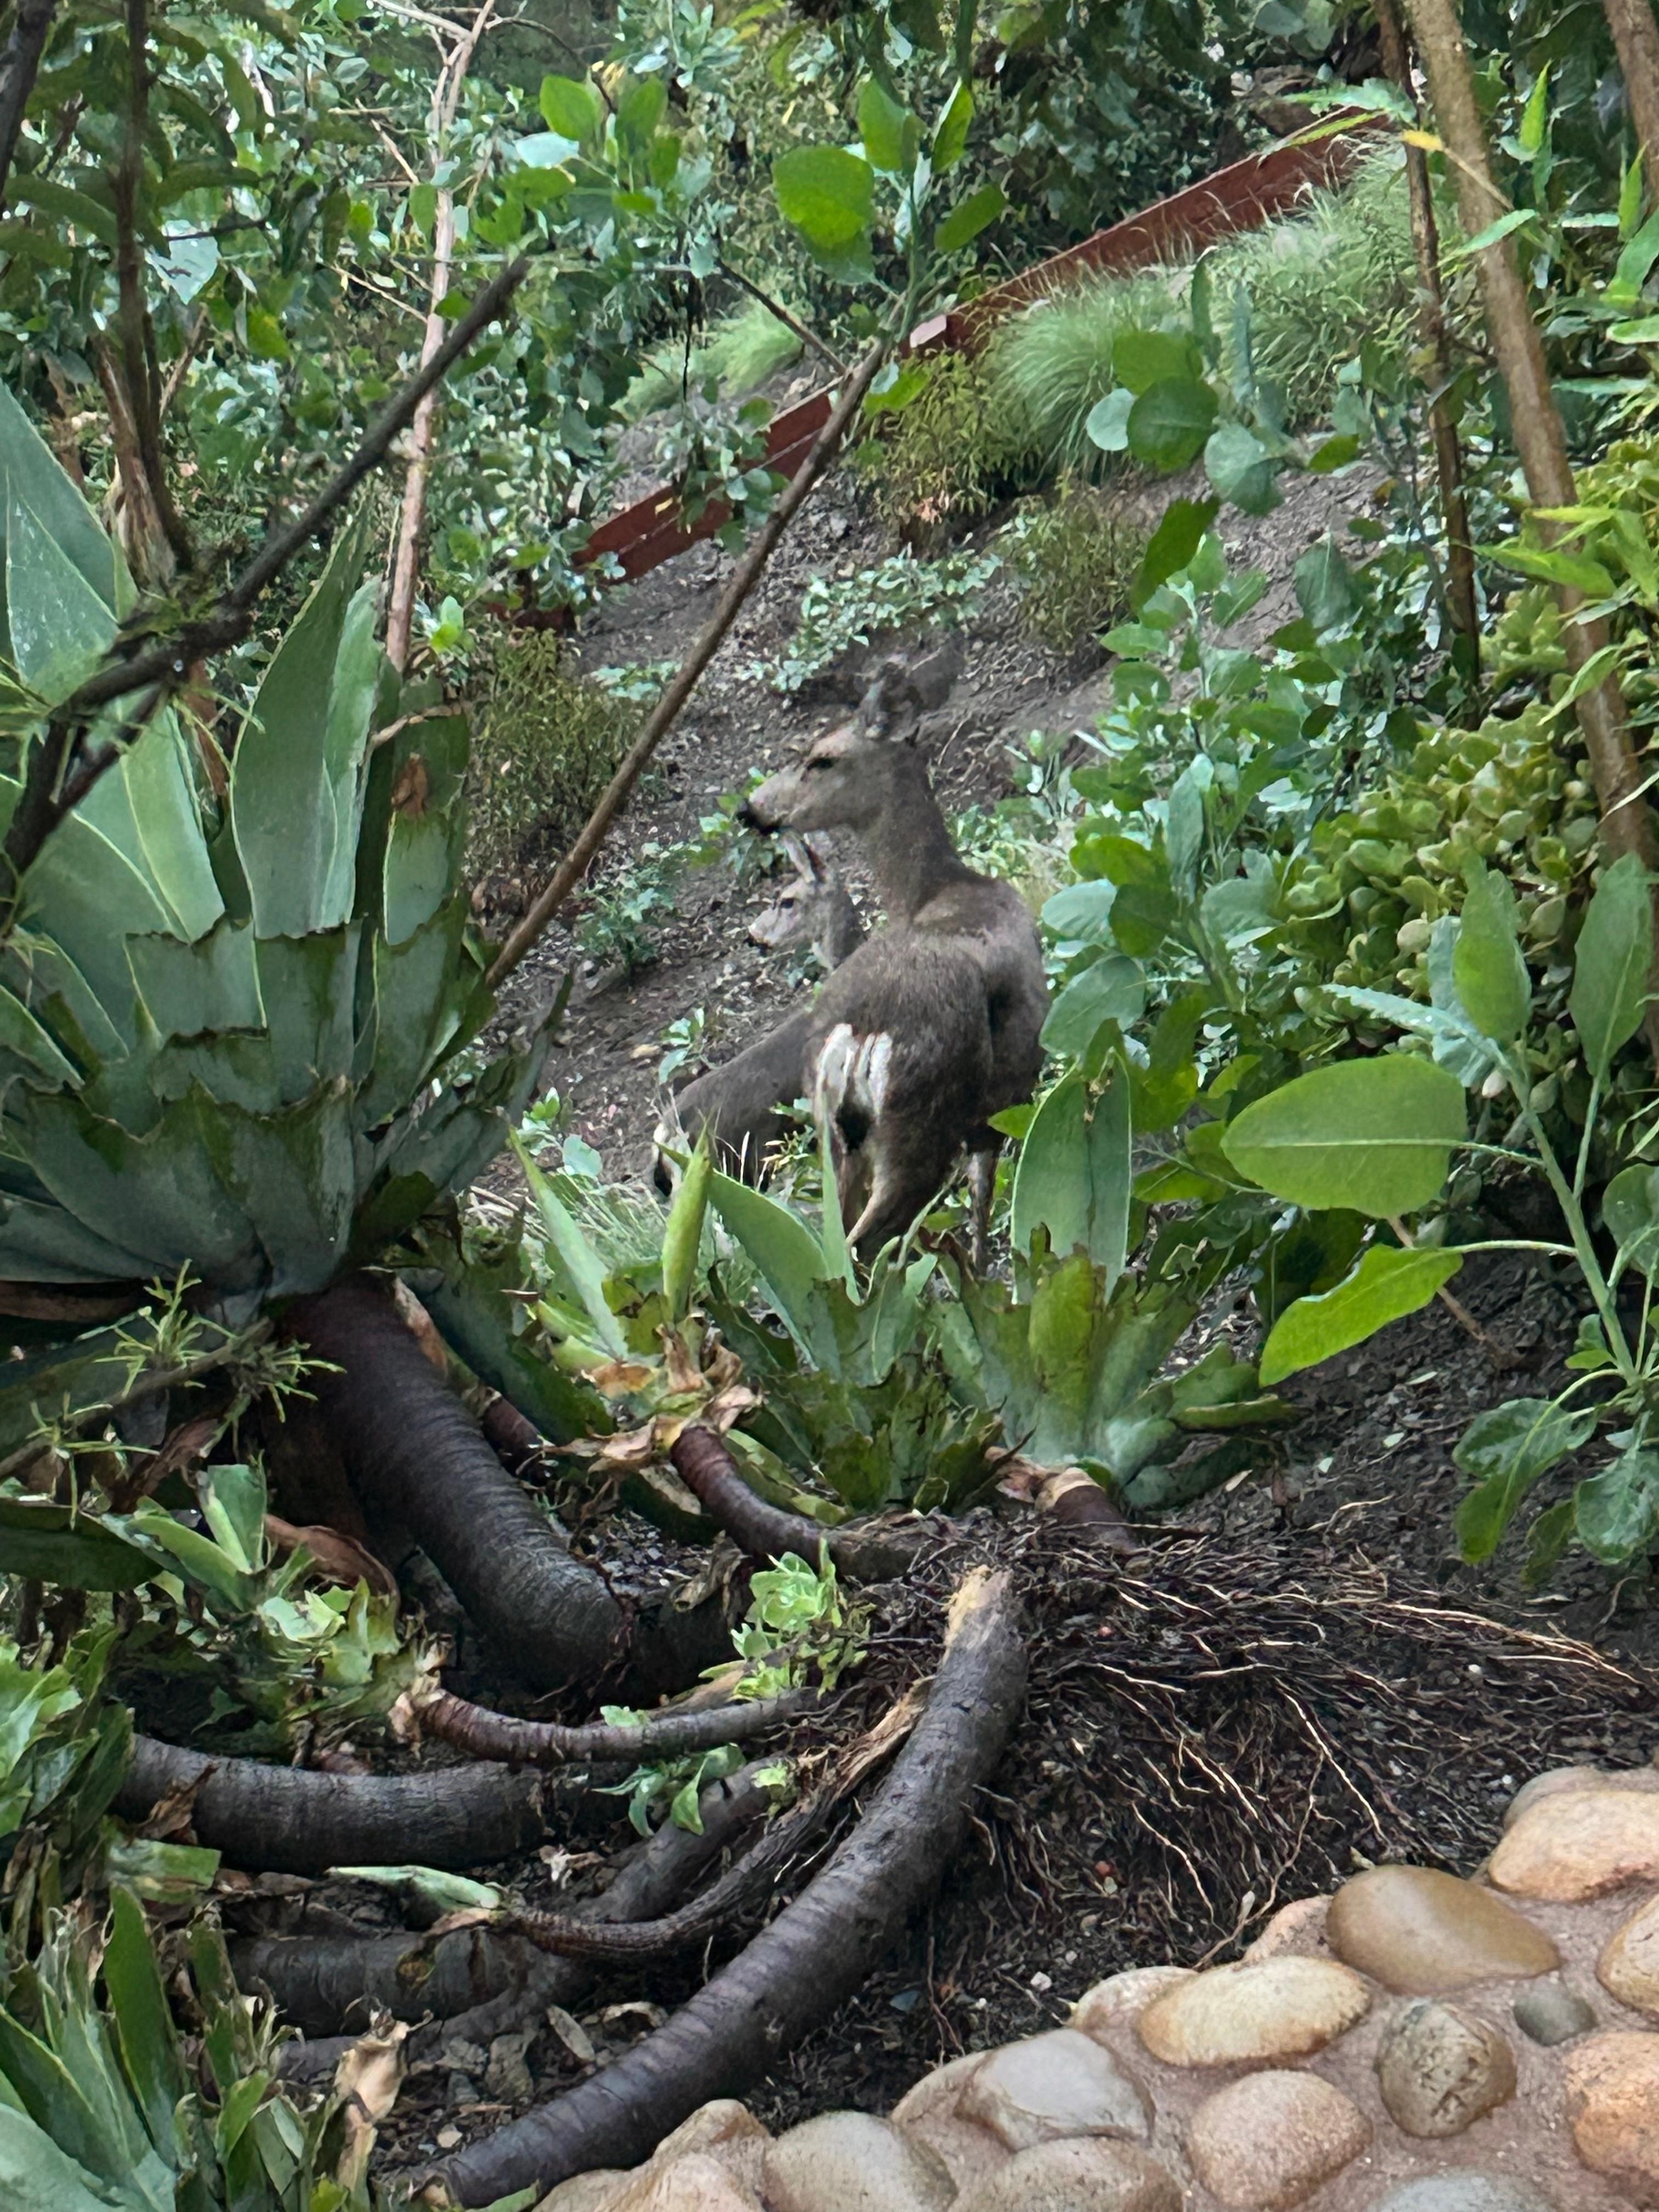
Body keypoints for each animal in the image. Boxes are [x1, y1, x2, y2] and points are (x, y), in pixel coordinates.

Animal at [736, 654, 1048, 1267]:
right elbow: (983, 1206)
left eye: (821, 758)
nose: (751, 807)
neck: (934, 889)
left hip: (836, 1139)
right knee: (866, 1247)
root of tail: (859, 1034)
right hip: (920, 1123)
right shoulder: (1004, 1102)